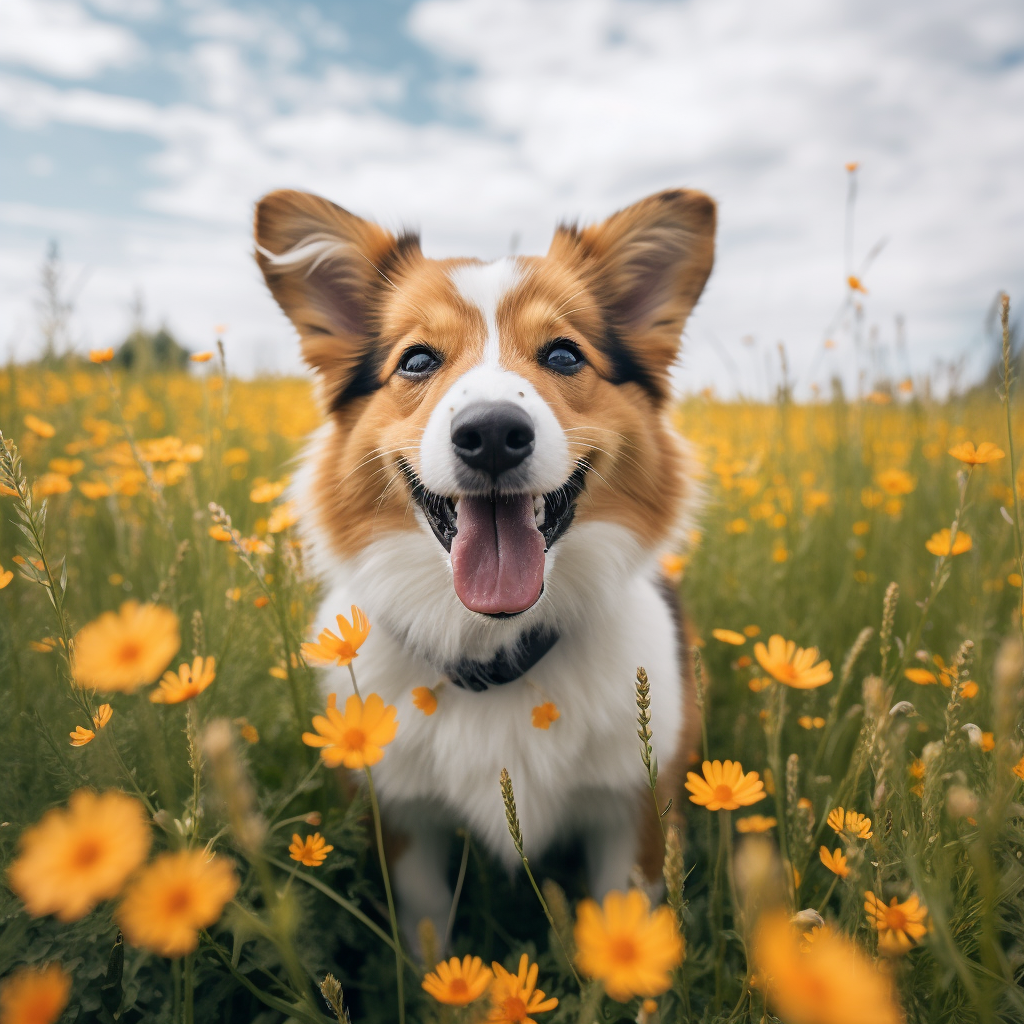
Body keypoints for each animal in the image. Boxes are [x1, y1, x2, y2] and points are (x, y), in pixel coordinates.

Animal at [252, 188, 716, 946]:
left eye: (563, 354)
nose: (493, 433)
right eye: (416, 361)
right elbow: (427, 928)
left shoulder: (635, 810)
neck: (494, 647)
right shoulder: (402, 819)